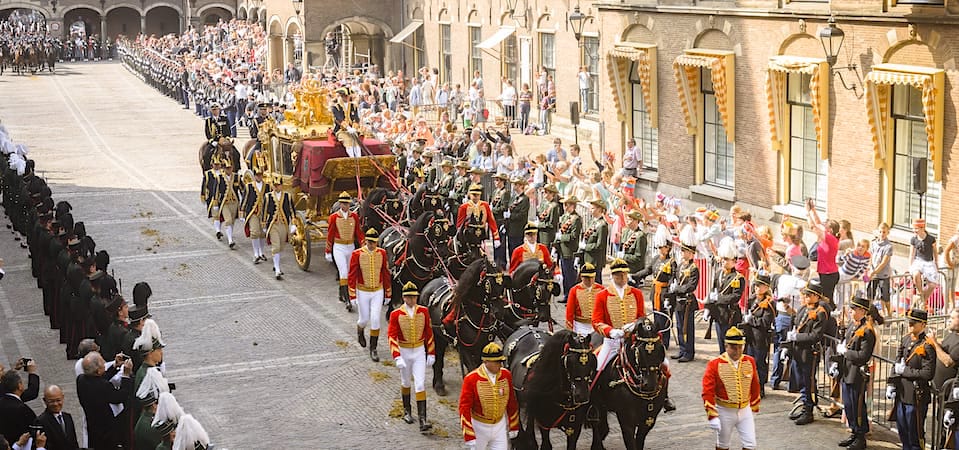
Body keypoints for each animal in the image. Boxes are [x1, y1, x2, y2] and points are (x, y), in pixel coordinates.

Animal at [420, 258, 510, 396]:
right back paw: (439, 385)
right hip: (434, 335)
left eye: (502, 284)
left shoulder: (482, 346)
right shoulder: (464, 348)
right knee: (438, 357)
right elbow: (472, 368)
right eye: (489, 284)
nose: (500, 312)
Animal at [592, 316, 668, 450]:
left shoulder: (648, 420)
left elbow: (639, 442)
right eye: (639, 351)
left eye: (660, 349)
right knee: (596, 424)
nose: (650, 385)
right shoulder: (627, 422)